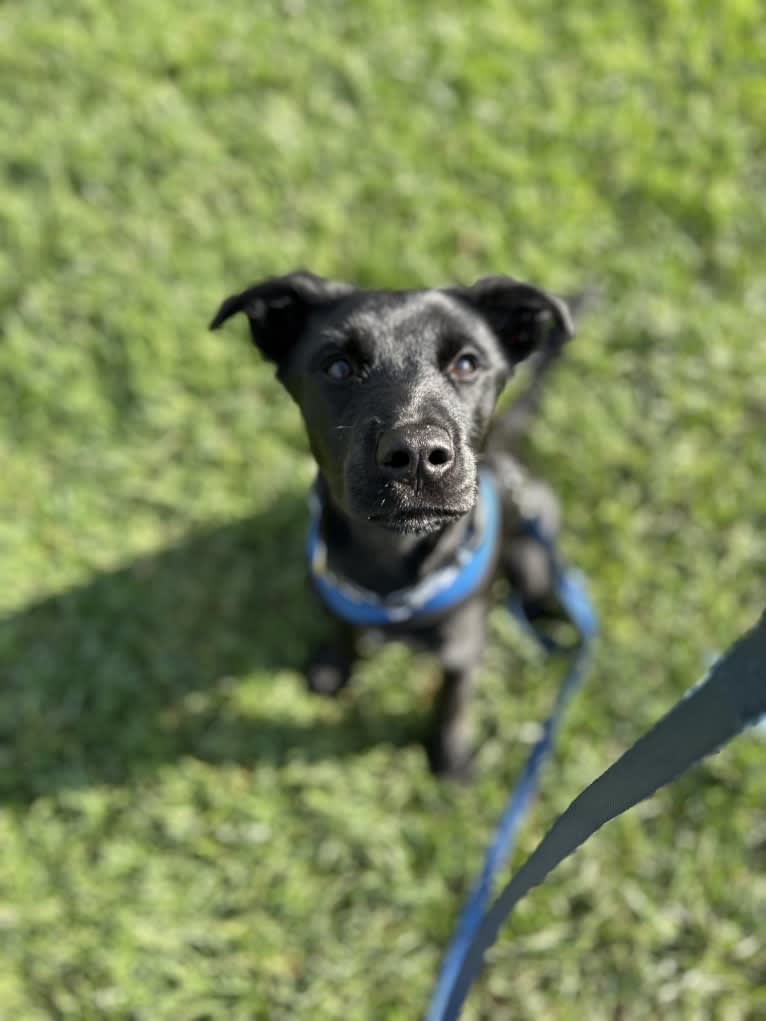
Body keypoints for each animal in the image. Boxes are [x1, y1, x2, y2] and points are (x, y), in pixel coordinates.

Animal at [210, 269, 576, 771]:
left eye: (467, 363)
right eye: (338, 367)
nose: (418, 454)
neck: (390, 561)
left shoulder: (463, 647)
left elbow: (452, 702)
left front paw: (450, 760)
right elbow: (343, 630)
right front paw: (335, 670)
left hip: (532, 552)